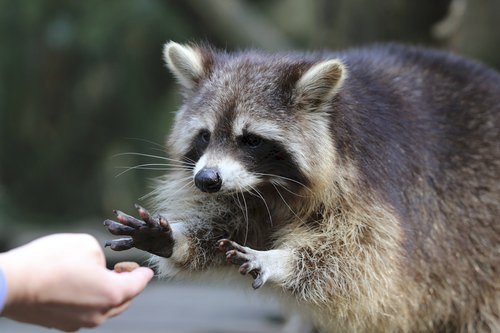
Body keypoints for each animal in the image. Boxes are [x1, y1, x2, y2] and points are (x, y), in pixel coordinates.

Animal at [104, 42, 500, 332]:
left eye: (251, 140)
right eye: (204, 135)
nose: (206, 180)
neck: (269, 185)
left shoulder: (372, 182)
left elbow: (363, 256)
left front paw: (282, 260)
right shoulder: (245, 194)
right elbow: (228, 223)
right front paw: (176, 237)